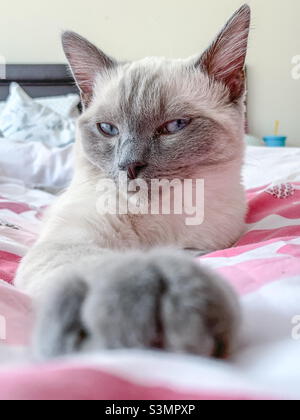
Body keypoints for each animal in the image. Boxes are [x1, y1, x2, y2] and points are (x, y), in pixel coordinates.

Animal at [15, 4, 251, 358]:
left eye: (174, 126)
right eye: (108, 129)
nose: (128, 166)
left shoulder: (206, 245)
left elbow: (185, 254)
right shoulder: (68, 240)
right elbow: (107, 264)